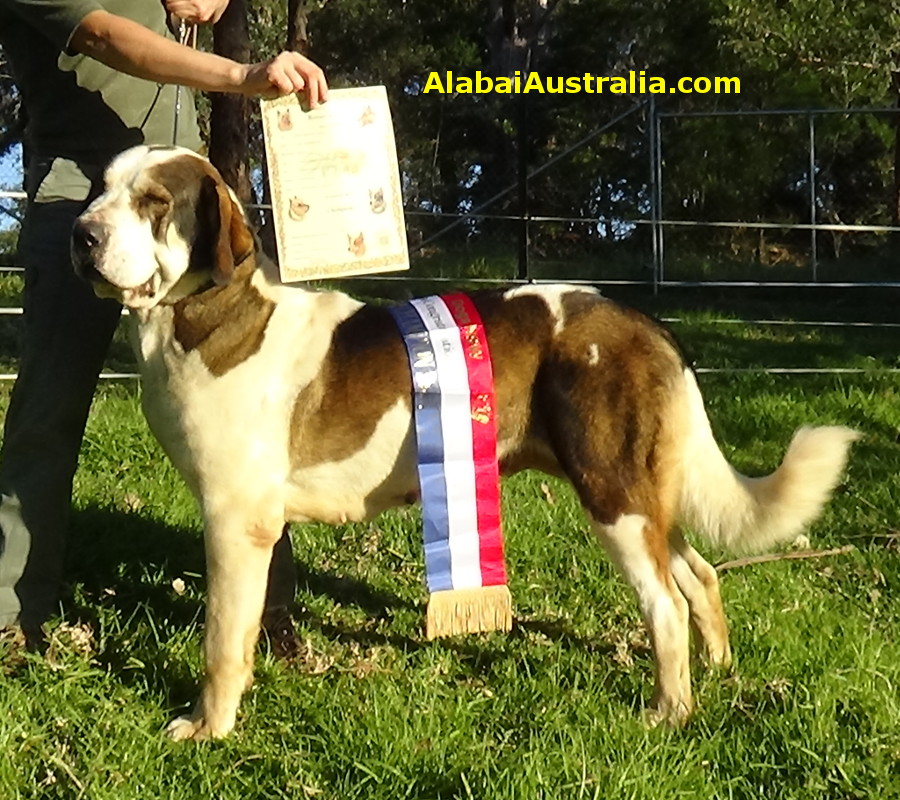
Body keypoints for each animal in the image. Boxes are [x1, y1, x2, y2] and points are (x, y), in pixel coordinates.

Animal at [72, 147, 856, 740]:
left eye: (152, 202)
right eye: (101, 188)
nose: (81, 233)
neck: (206, 313)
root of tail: (642, 320)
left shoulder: (237, 522)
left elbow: (220, 641)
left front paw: (207, 728)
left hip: (611, 491)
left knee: (664, 601)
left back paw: (669, 711)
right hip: (639, 491)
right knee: (699, 574)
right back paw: (719, 669)